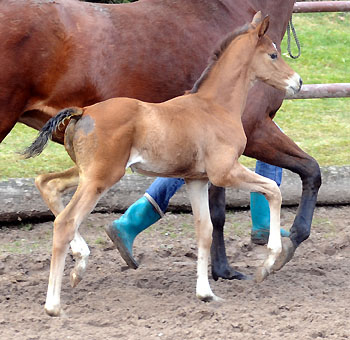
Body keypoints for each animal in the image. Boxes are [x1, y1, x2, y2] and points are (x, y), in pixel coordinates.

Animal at [1, 0, 322, 278]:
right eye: (273, 54)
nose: (298, 82)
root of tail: (81, 112)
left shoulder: (206, 164)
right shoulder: (253, 134)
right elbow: (302, 174)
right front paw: (278, 250)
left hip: (89, 169)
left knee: (49, 187)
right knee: (64, 215)